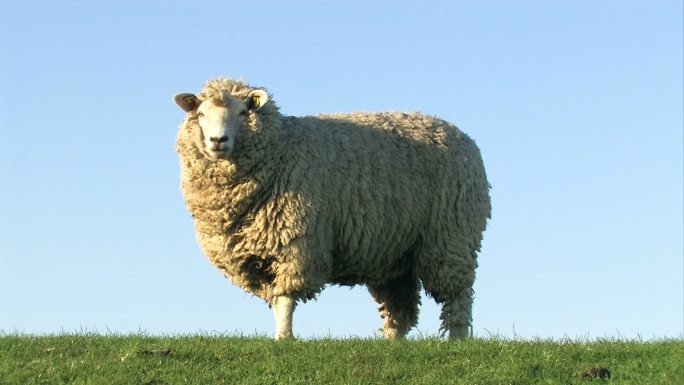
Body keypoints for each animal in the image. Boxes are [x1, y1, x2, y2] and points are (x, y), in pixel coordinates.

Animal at [174, 78, 488, 340]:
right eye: (201, 115)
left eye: (242, 113)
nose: (218, 141)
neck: (281, 148)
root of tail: (463, 137)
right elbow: (275, 299)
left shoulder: (297, 242)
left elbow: (285, 299)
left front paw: (284, 338)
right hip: (395, 253)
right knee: (401, 310)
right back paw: (391, 344)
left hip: (450, 237)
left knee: (458, 295)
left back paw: (458, 339)